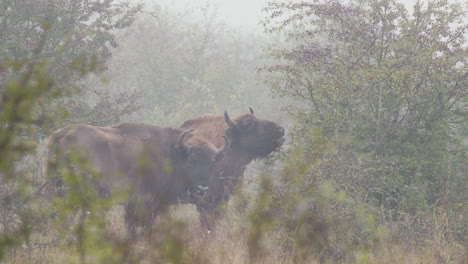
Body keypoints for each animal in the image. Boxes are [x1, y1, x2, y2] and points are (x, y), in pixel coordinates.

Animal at [46, 121, 229, 233]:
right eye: (191, 162)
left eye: (212, 164)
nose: (202, 189)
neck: (171, 153)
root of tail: (63, 134)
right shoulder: (147, 203)